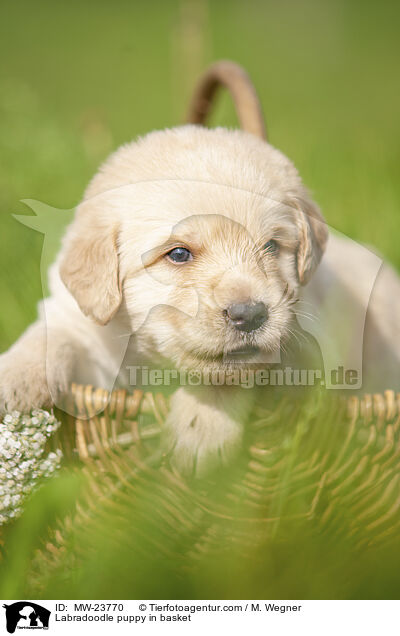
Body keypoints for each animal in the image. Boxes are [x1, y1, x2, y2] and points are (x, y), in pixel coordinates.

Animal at [0, 62, 400, 474]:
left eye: (271, 246)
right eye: (178, 254)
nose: (250, 314)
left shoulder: (303, 351)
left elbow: (234, 372)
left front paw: (199, 429)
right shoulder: (86, 329)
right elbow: (51, 335)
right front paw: (14, 381)